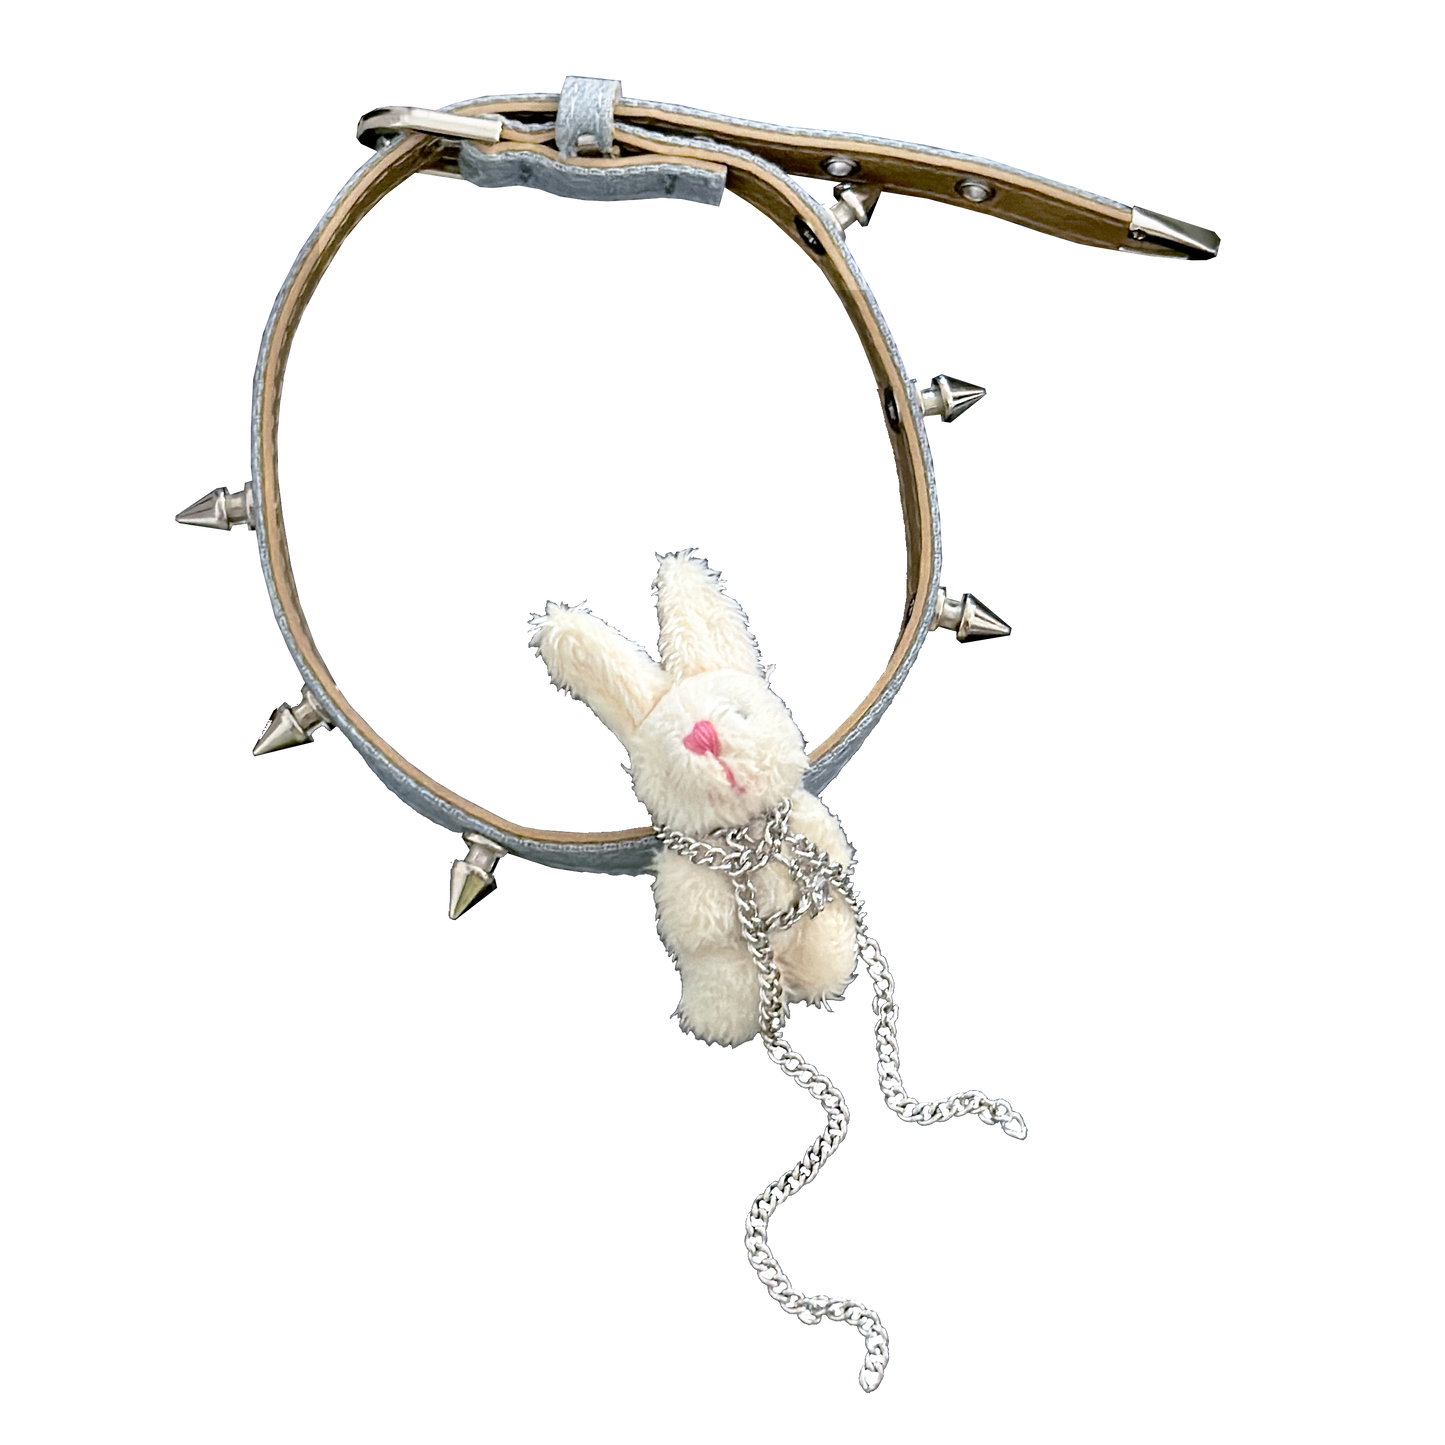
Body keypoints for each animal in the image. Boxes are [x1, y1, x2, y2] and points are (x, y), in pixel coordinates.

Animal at [527, 547, 859, 1048]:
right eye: (671, 749)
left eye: (741, 713)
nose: (703, 737)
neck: (746, 834)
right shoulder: (689, 883)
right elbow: (696, 920)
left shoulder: (809, 824)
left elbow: (833, 852)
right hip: (732, 978)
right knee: (732, 987)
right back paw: (720, 1023)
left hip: (818, 933)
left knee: (825, 946)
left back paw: (827, 977)